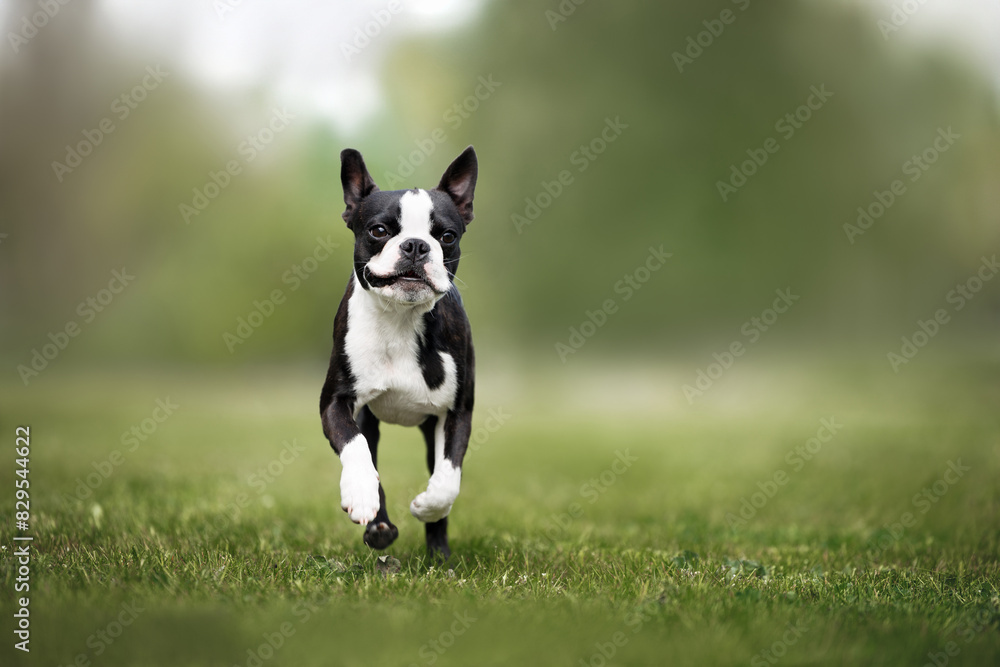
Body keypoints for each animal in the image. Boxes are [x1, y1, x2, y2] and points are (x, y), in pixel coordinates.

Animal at [318, 149, 478, 560]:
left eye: (447, 236)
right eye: (378, 231)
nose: (417, 245)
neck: (401, 320)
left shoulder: (457, 413)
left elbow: (449, 475)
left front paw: (429, 506)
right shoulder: (336, 402)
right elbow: (356, 448)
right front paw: (361, 495)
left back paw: (439, 554)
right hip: (369, 418)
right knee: (370, 452)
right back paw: (379, 526)